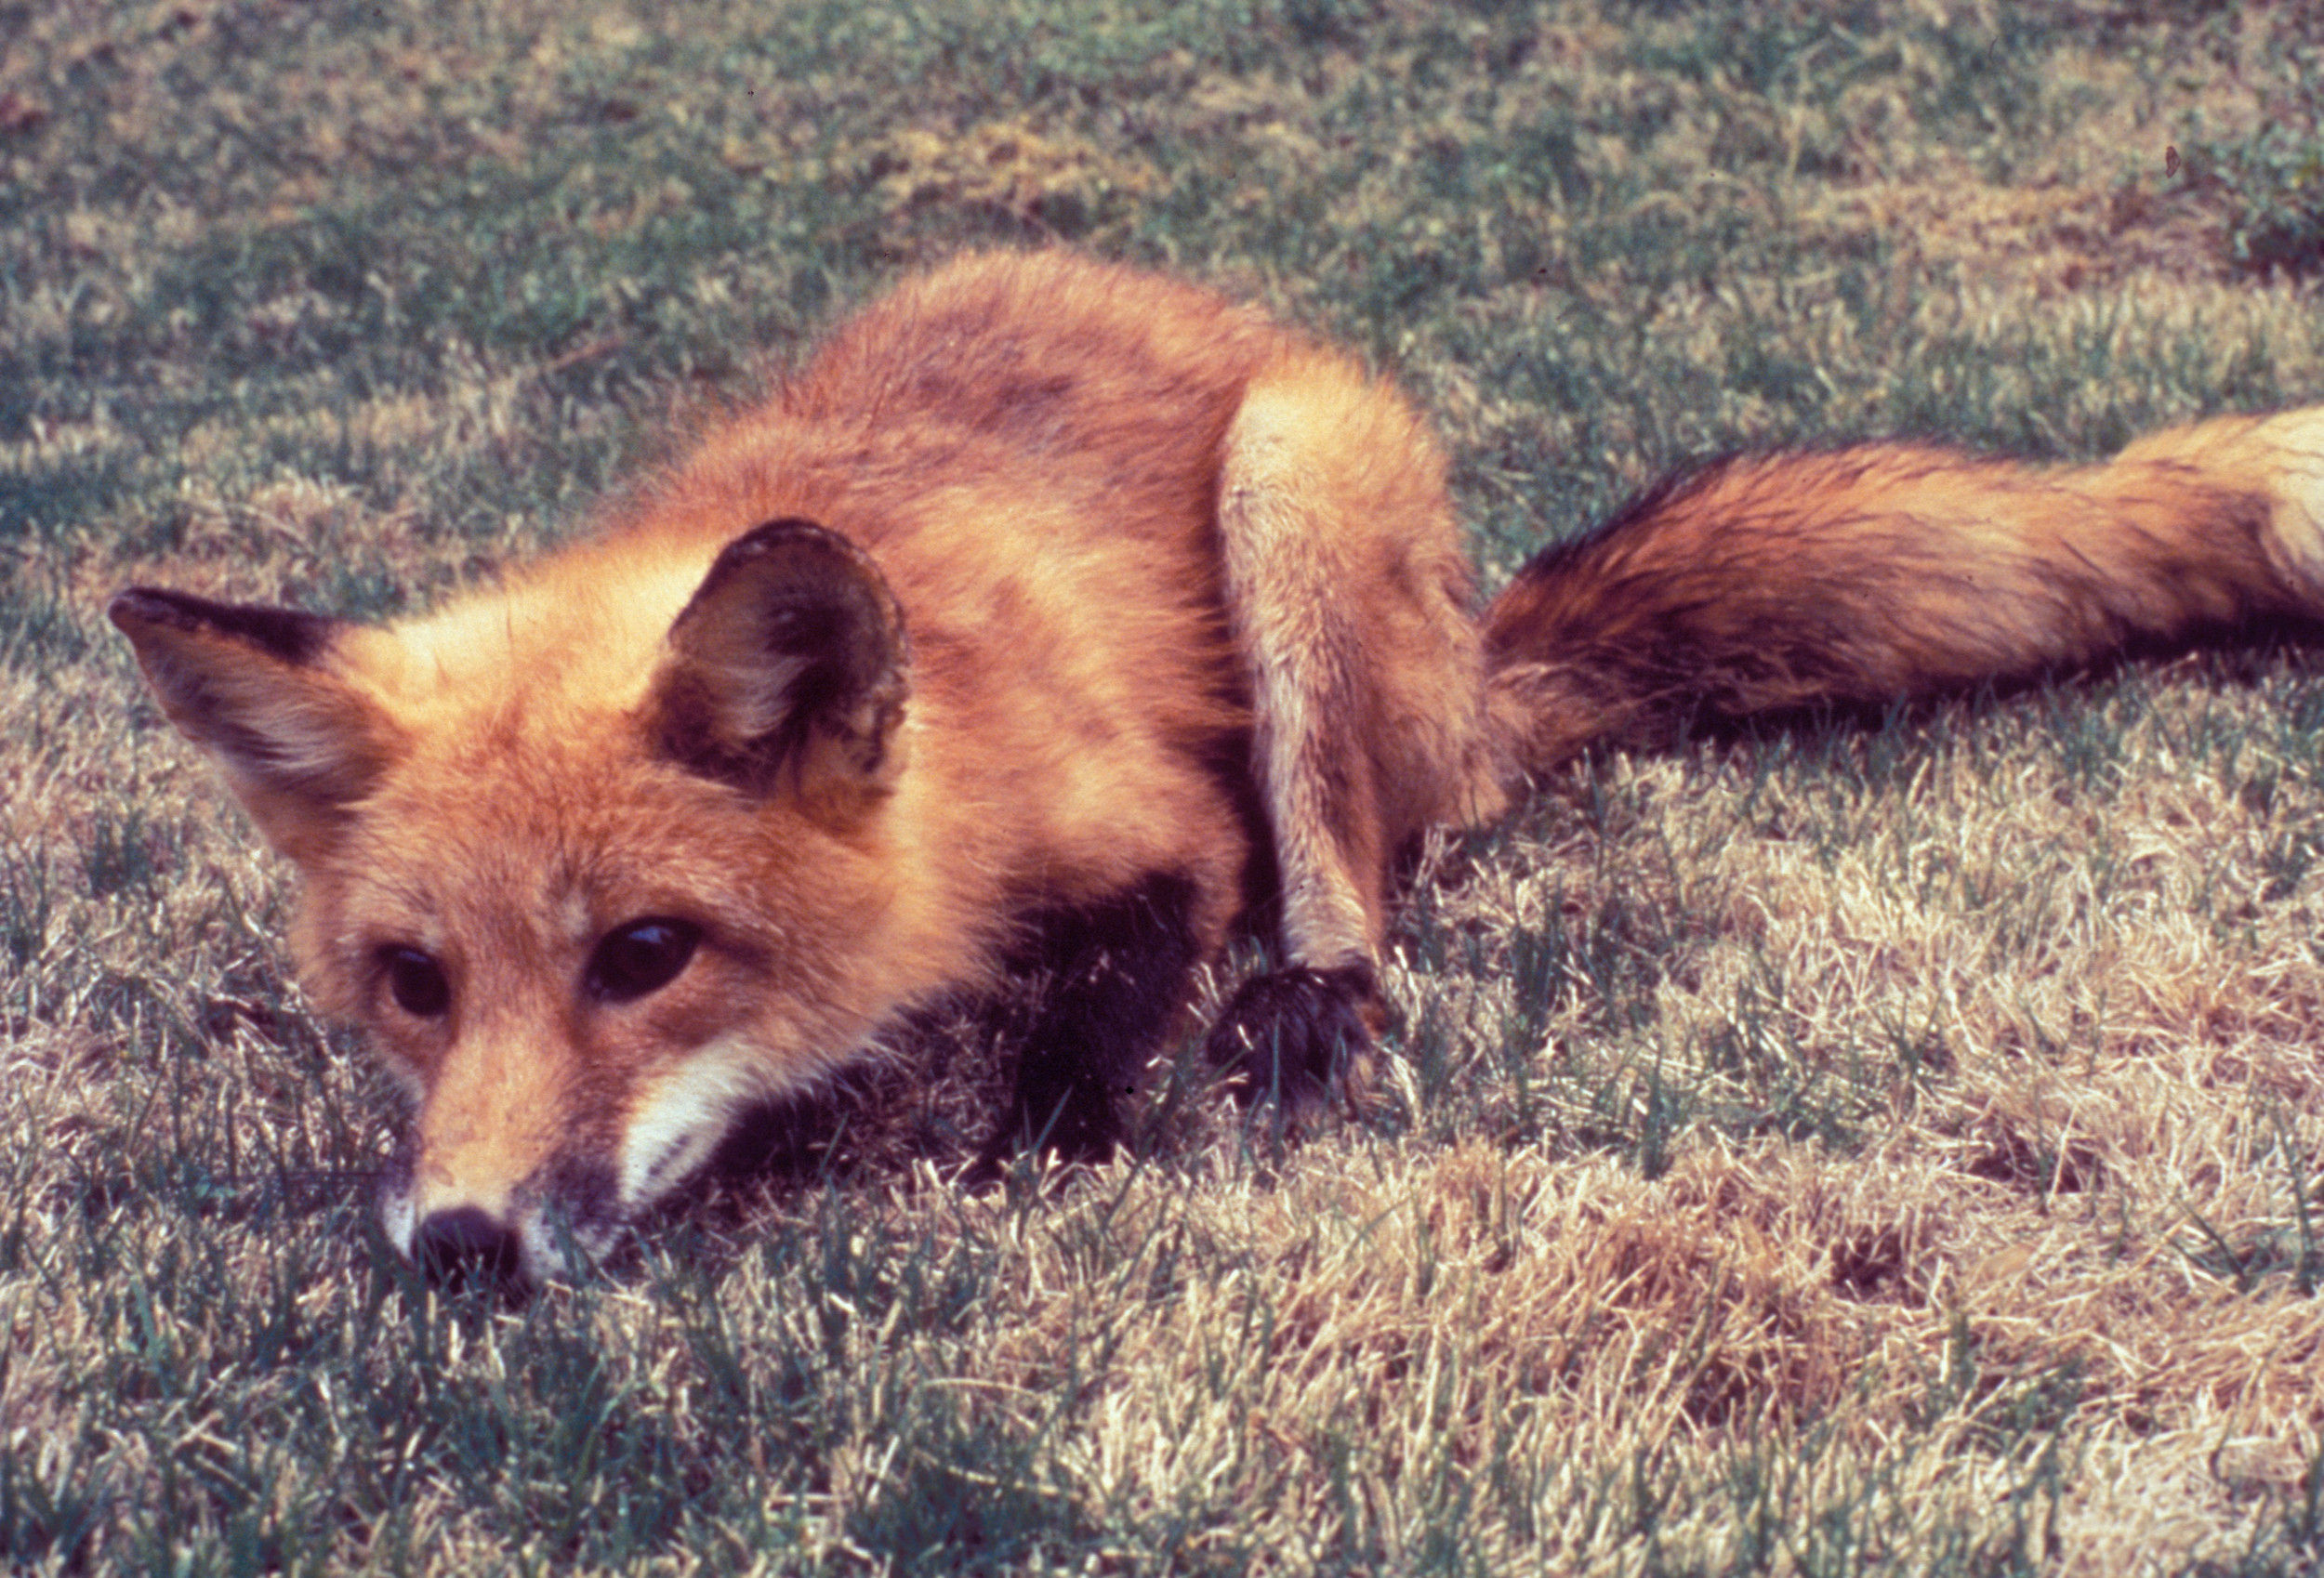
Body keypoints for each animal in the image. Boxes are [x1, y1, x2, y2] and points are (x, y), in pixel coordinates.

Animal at [112, 253, 2324, 1292]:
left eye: (642, 954)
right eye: (415, 985)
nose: (463, 1250)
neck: (958, 751)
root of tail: (1482, 656)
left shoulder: (1149, 820)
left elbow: (1123, 980)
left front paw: (1048, 1123)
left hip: (1289, 497)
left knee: (1350, 861)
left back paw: (1313, 999)